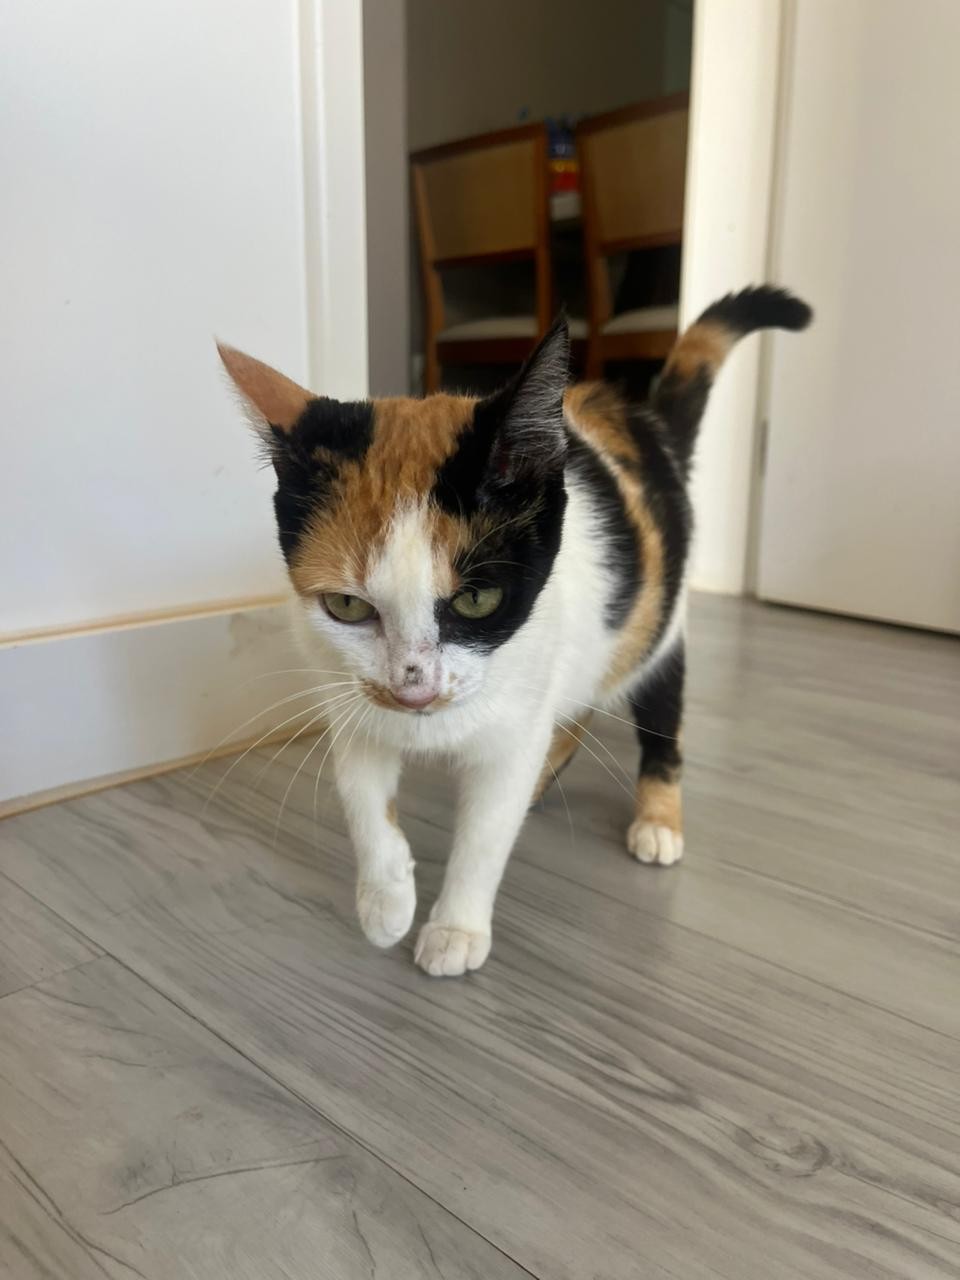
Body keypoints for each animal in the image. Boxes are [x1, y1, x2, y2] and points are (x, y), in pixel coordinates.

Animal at [219, 285, 811, 977]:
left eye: (477, 600)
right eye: (345, 605)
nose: (416, 691)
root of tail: (645, 423)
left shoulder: (516, 720)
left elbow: (484, 833)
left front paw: (454, 928)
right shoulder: (350, 700)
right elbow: (363, 798)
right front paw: (385, 902)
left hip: (655, 624)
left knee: (659, 712)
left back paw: (658, 817)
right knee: (573, 714)